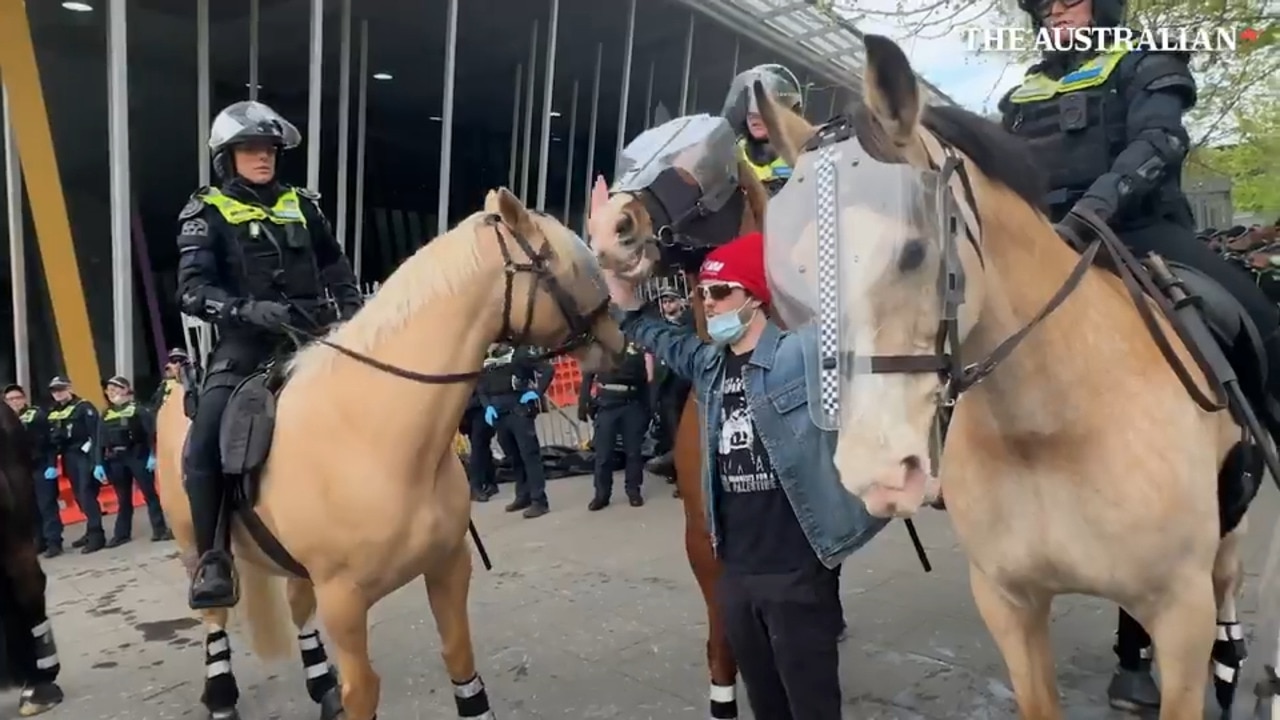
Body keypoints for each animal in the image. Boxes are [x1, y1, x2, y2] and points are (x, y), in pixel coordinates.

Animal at [157, 185, 627, 717]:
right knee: (215, 613)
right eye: (578, 266)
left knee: (297, 606)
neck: (374, 434)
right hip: (193, 544)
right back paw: (221, 694)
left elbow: (461, 663)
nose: (621, 341)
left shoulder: (448, 567)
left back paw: (319, 683)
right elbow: (362, 691)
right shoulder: (343, 602)